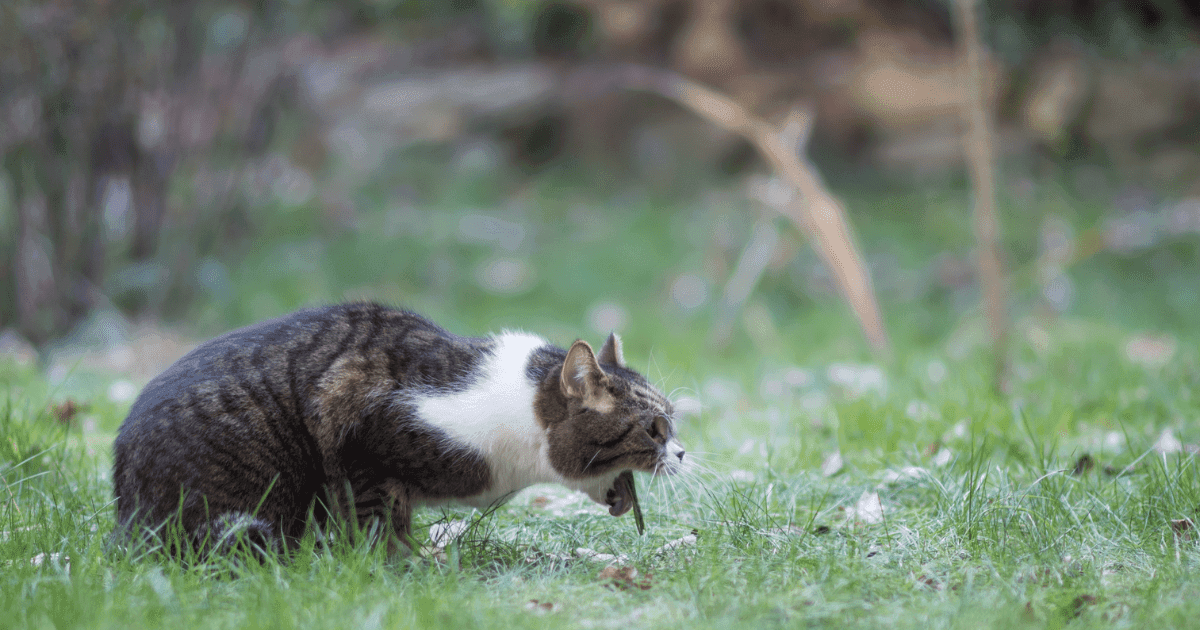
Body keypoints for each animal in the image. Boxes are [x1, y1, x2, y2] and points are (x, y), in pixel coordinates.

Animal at [112, 302, 686, 552]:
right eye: (654, 429)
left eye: (673, 424)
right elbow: (380, 522)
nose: (682, 453)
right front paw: (400, 569)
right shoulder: (359, 430)